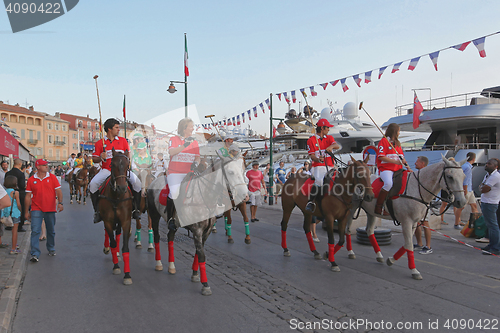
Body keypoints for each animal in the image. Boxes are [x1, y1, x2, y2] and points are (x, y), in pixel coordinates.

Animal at [96, 149, 133, 284]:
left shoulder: (126, 221)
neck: (117, 197)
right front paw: (116, 266)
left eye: (127, 166)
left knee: (117, 233)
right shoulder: (107, 221)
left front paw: (127, 275)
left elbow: (125, 248)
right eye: (113, 165)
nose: (121, 188)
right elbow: (112, 243)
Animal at [146, 152, 248, 294]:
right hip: (154, 216)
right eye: (231, 172)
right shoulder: (197, 230)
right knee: (156, 237)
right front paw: (205, 284)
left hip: (173, 224)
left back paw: (171, 266)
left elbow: (197, 252)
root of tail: (154, 181)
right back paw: (159, 263)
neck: (204, 196)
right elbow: (201, 255)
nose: (245, 196)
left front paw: (195, 274)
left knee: (170, 237)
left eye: (243, 170)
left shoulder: (206, 231)